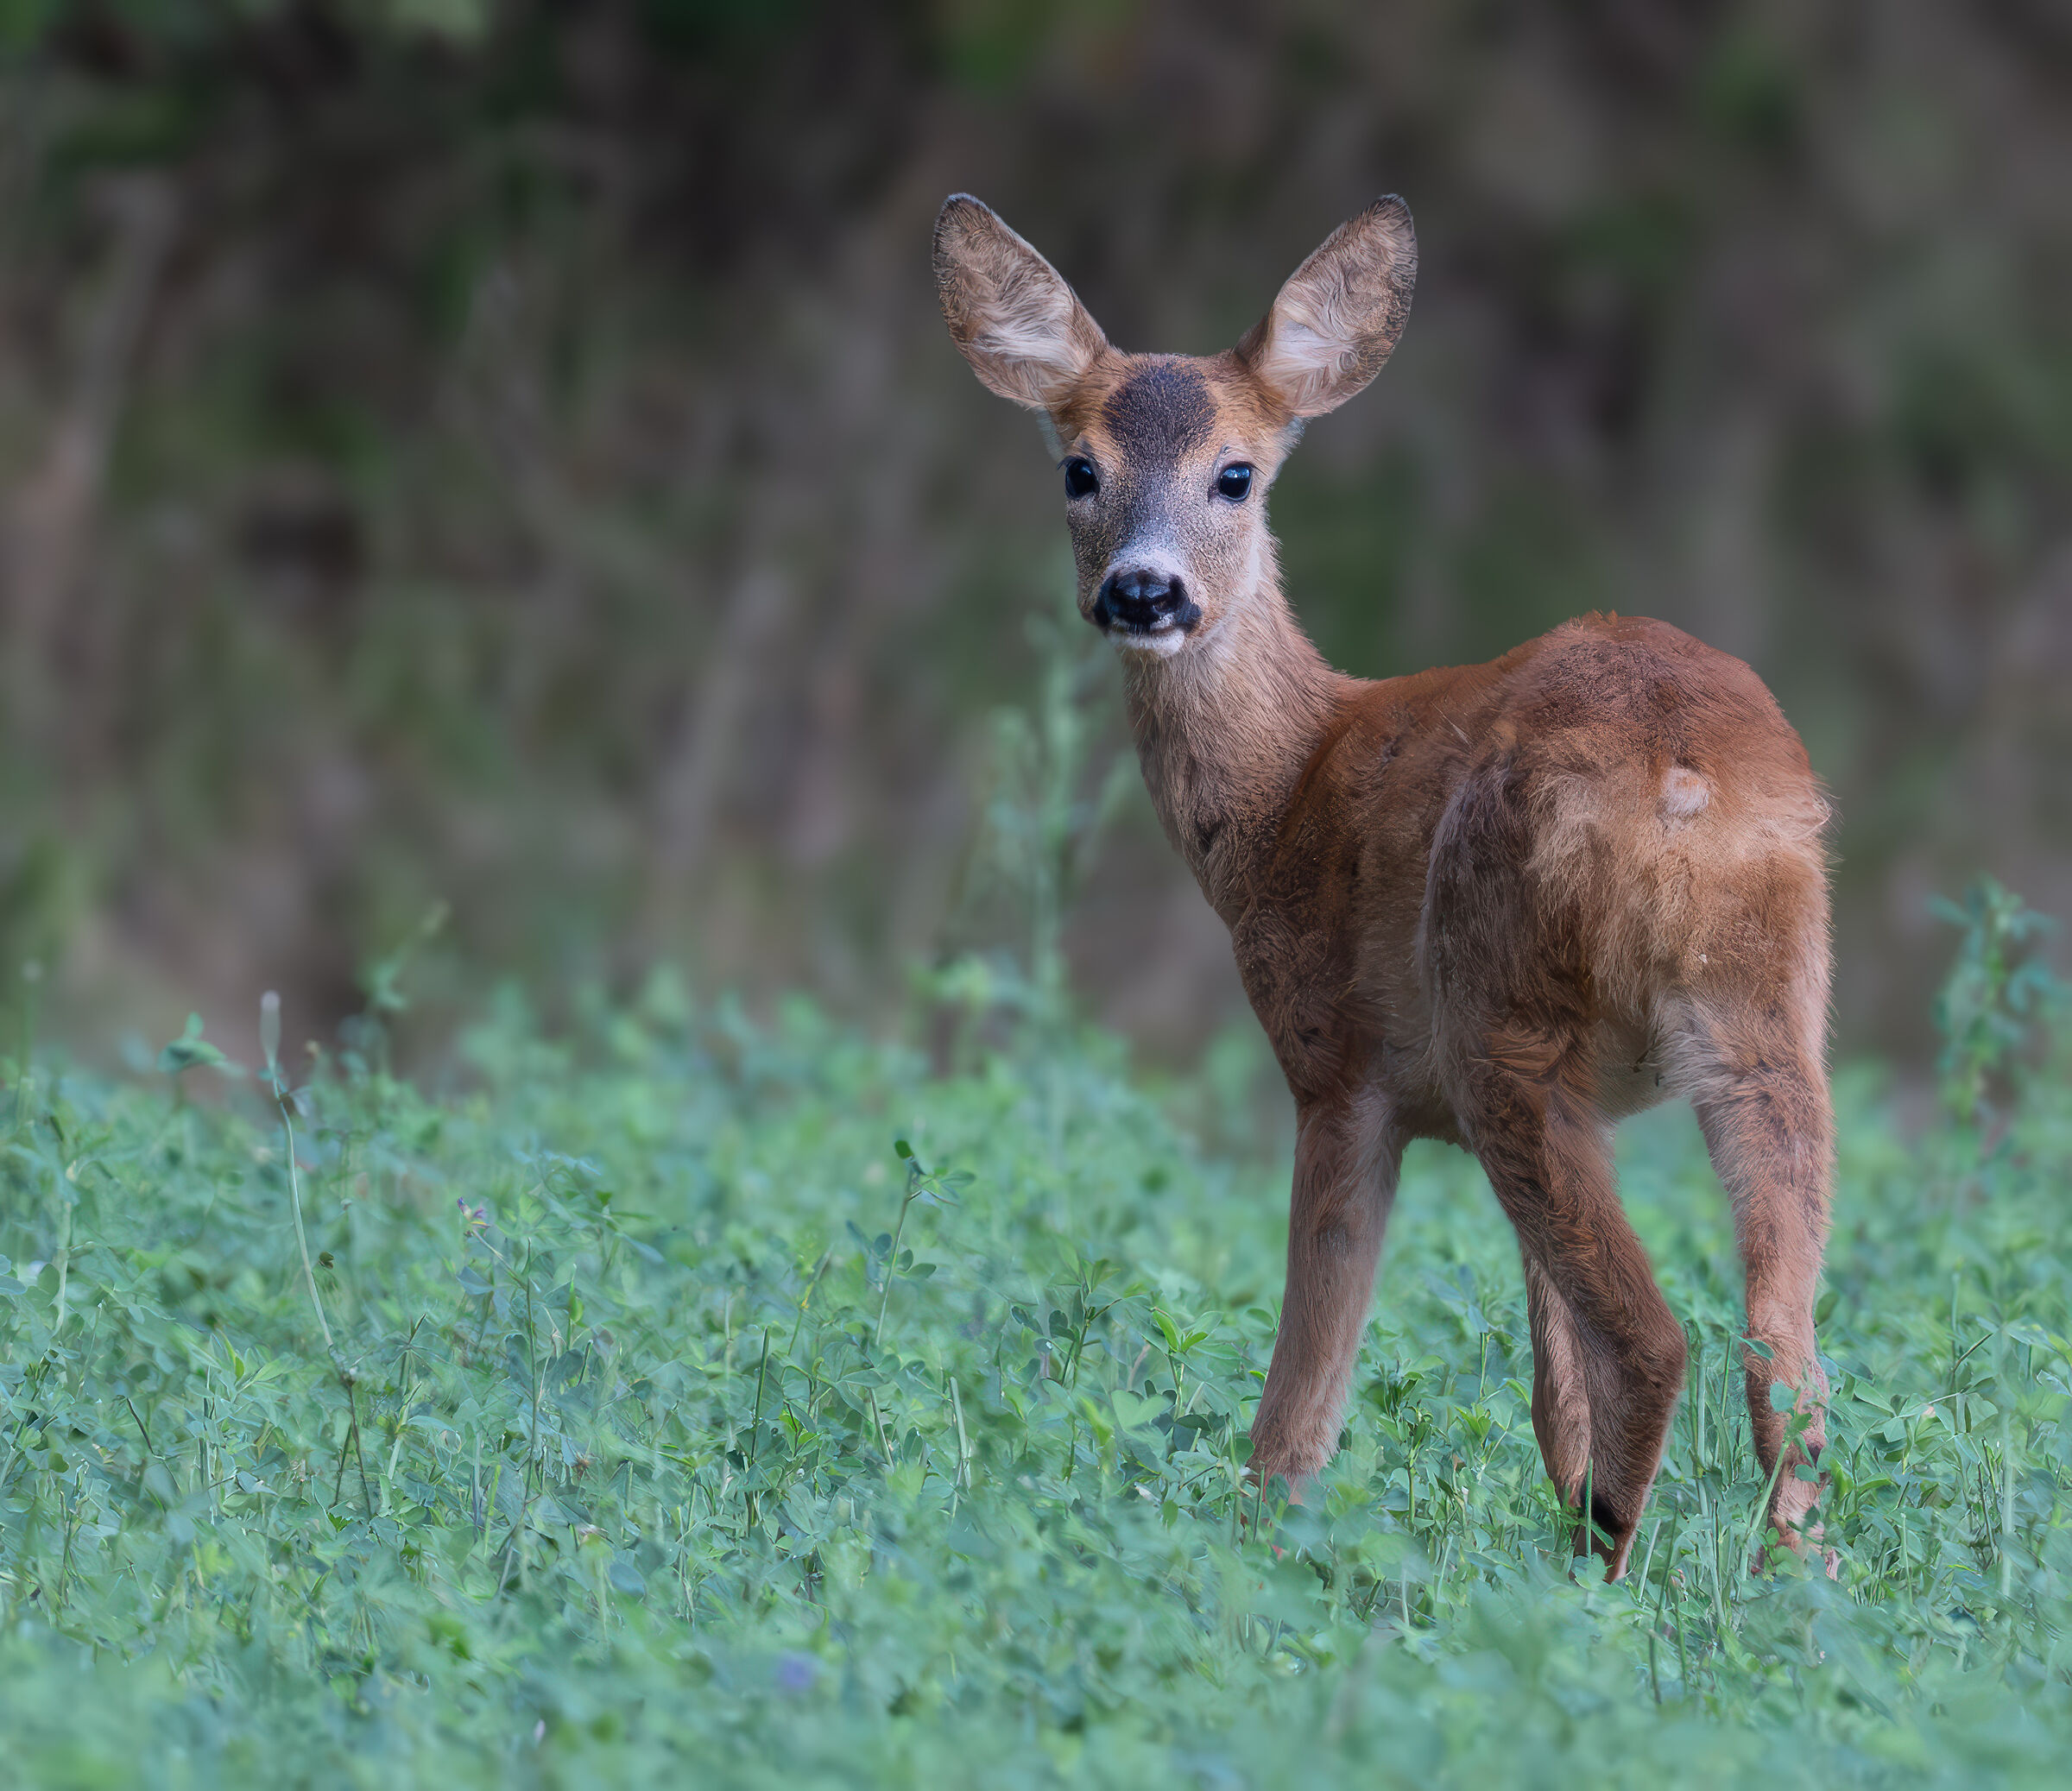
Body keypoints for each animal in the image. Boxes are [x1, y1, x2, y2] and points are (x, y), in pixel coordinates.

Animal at [933, 192, 1835, 1578]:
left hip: (1496, 1006)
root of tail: (1681, 780)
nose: (1144, 590)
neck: (1290, 780)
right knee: (1782, 1351)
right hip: (1769, 1012)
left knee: (1655, 1335)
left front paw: (1258, 1540)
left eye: (1236, 474)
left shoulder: (1337, 1064)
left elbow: (1306, 1388)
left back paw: (1605, 1576)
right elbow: (1547, 1377)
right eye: (1078, 469)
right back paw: (1784, 1577)